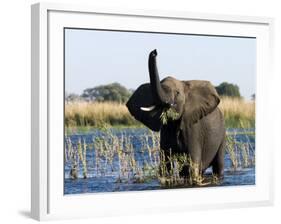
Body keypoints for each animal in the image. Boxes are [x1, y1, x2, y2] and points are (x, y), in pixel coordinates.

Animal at [126, 49, 225, 186]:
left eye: (177, 93)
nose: (154, 51)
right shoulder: (165, 131)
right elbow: (165, 164)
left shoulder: (194, 129)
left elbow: (192, 163)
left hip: (222, 135)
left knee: (218, 165)